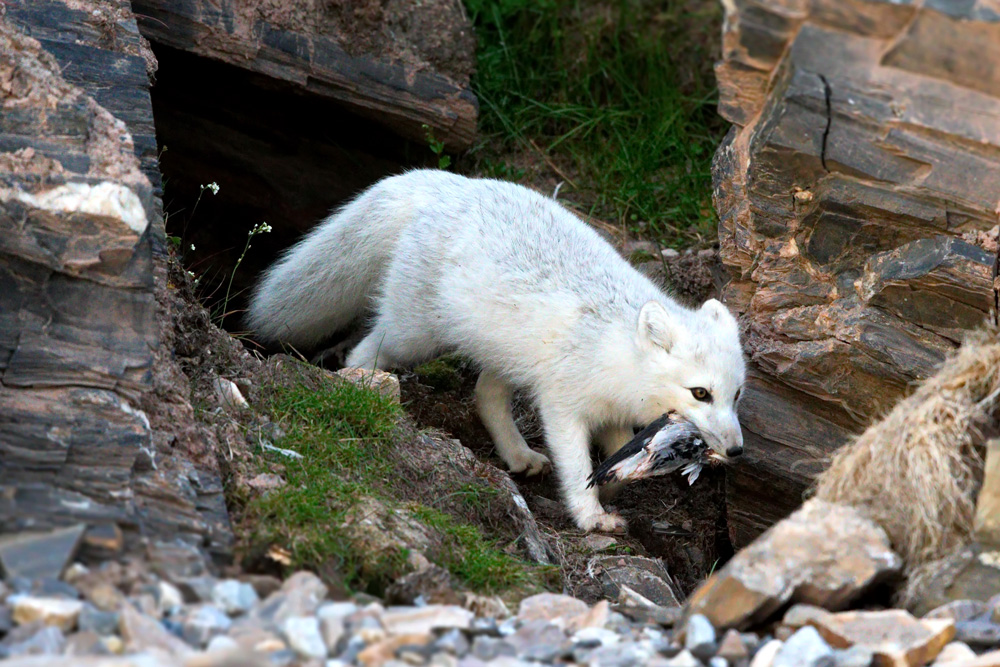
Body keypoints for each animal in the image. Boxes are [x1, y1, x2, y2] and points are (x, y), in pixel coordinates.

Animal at [247, 170, 746, 533]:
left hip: (504, 355)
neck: (615, 348)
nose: (737, 450)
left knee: (485, 397)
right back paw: (366, 389)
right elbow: (575, 465)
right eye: (701, 393)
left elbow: (615, 456)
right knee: (364, 350)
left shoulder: (615, 416)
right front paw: (590, 517)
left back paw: (518, 456)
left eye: (736, 395)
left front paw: (608, 493)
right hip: (413, 334)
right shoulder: (563, 406)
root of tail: (450, 183)